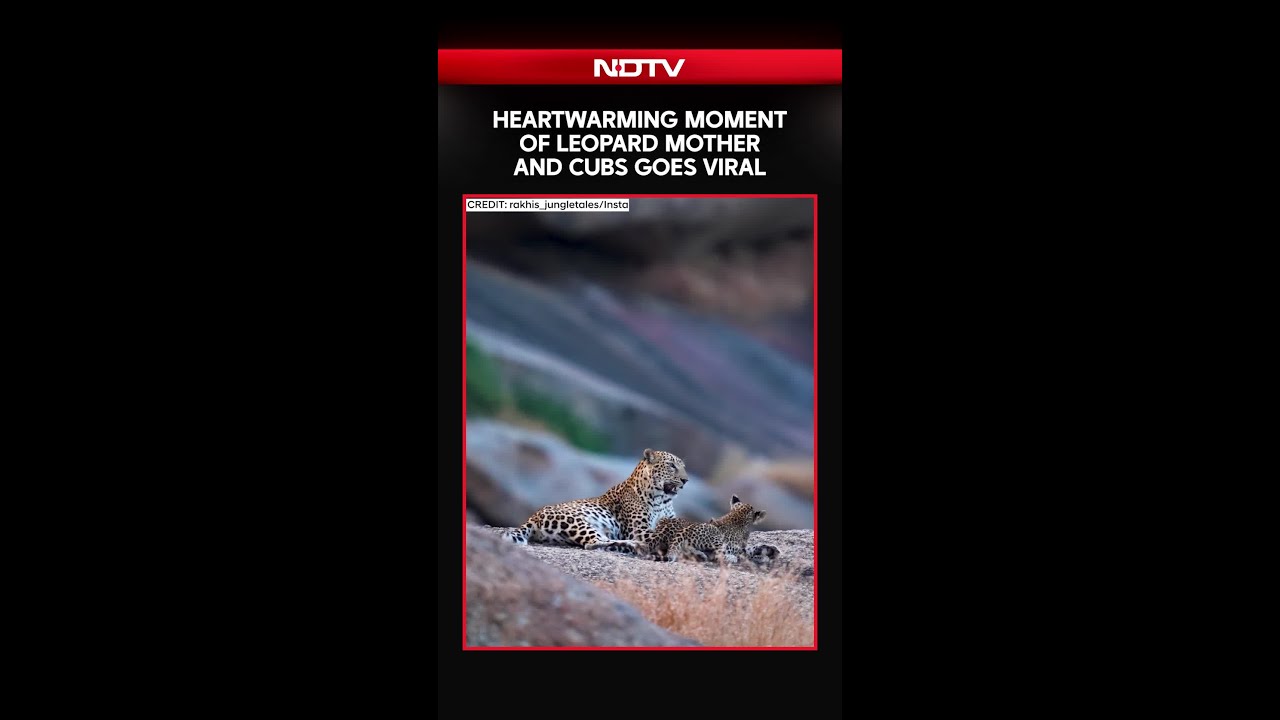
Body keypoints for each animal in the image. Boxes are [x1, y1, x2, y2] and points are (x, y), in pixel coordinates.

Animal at [493, 448, 688, 553]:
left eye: (684, 467)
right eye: (671, 466)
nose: (686, 480)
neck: (662, 501)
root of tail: (532, 517)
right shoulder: (639, 530)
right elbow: (669, 532)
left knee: (600, 541)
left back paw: (628, 547)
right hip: (577, 521)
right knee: (592, 544)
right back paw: (633, 546)